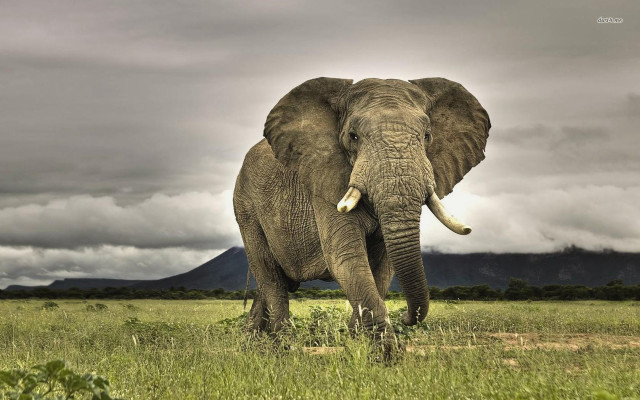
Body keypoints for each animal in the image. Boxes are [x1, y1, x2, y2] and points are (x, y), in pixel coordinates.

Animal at [233, 77, 490, 343]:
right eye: (353, 136)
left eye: (427, 136)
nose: (406, 318)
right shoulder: (324, 181)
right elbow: (346, 257)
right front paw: (385, 351)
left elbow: (383, 267)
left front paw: (357, 342)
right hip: (246, 206)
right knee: (270, 276)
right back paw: (283, 344)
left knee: (271, 284)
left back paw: (253, 342)